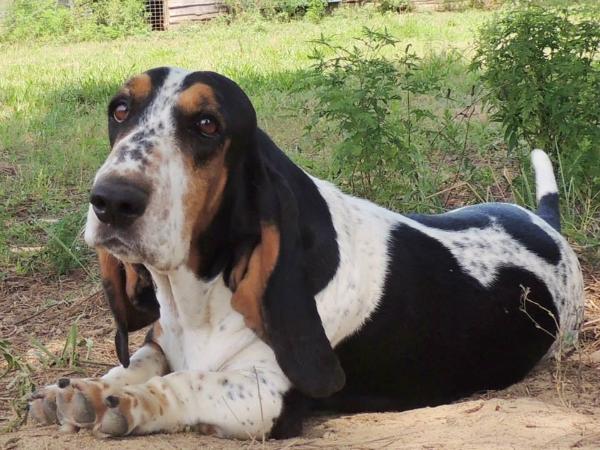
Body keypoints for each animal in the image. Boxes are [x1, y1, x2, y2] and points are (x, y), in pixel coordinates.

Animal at [29, 67, 584, 440]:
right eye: (119, 110)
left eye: (207, 124)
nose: (111, 200)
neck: (199, 296)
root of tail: (547, 223)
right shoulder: (162, 342)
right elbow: (138, 363)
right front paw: (78, 390)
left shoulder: (263, 395)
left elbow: (188, 382)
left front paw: (120, 402)